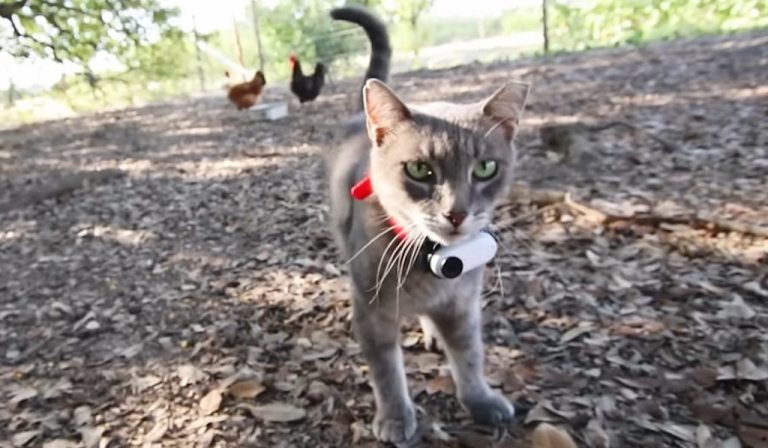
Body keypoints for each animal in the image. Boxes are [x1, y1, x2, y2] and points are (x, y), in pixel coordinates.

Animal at [324, 7, 528, 444]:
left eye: (486, 168)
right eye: (419, 169)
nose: (457, 212)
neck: (431, 264)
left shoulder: (463, 305)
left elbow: (469, 356)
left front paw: (481, 399)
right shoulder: (372, 312)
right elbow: (386, 372)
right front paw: (396, 418)